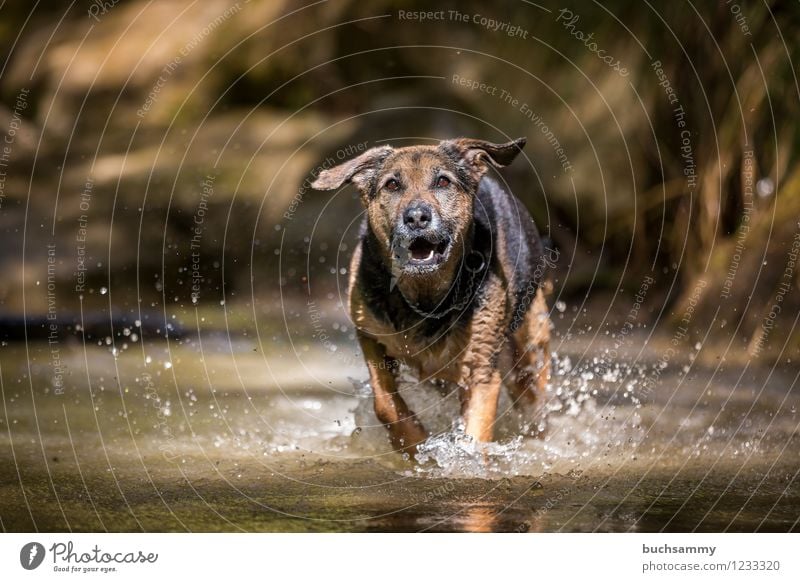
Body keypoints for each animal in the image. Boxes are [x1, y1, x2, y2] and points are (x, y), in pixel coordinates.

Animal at [310, 139, 552, 458]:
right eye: (392, 185)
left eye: (443, 181)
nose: (416, 217)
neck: (425, 294)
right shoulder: (371, 337)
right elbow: (384, 403)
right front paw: (415, 444)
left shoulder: (481, 368)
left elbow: (475, 433)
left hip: (529, 347)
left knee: (533, 400)